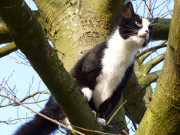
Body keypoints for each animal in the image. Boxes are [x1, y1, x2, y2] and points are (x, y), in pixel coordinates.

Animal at [14, 2, 158, 135]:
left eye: (150, 29)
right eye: (137, 23)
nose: (146, 32)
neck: (123, 52)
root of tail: (48, 107)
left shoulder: (120, 84)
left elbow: (109, 103)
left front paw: (101, 119)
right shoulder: (89, 65)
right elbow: (84, 79)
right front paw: (85, 93)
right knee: (62, 115)